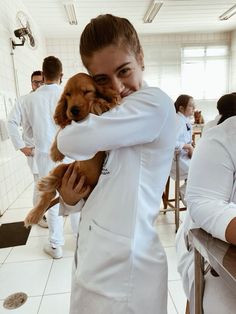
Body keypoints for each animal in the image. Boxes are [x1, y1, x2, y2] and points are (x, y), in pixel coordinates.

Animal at [24, 72, 121, 227]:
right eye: (68, 94)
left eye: (86, 91)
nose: (73, 110)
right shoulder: (69, 121)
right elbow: (62, 128)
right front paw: (55, 153)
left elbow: (98, 103)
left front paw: (99, 104)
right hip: (62, 168)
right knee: (50, 193)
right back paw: (37, 207)